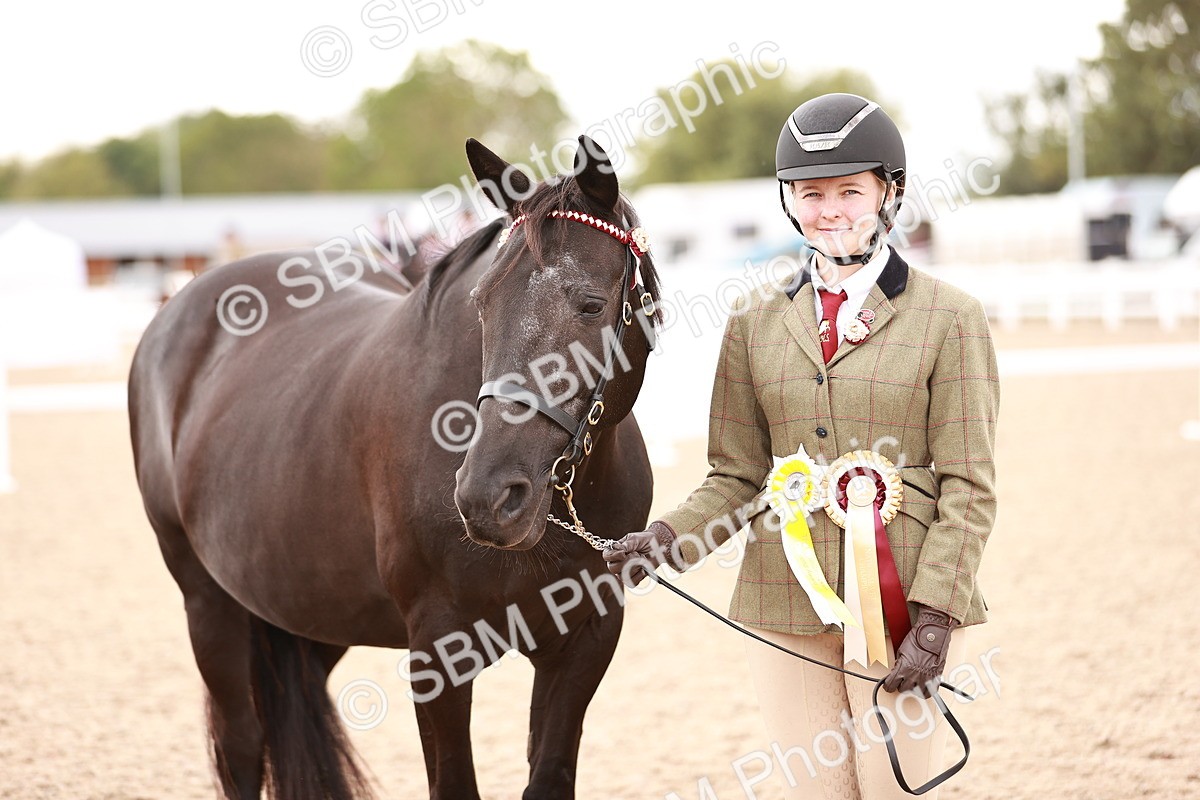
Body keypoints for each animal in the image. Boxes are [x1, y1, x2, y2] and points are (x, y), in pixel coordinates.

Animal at [127, 135, 664, 799]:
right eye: (482, 305)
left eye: (591, 305)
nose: (491, 498)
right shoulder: (437, 650)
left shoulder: (586, 641)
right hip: (208, 602)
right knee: (241, 745)